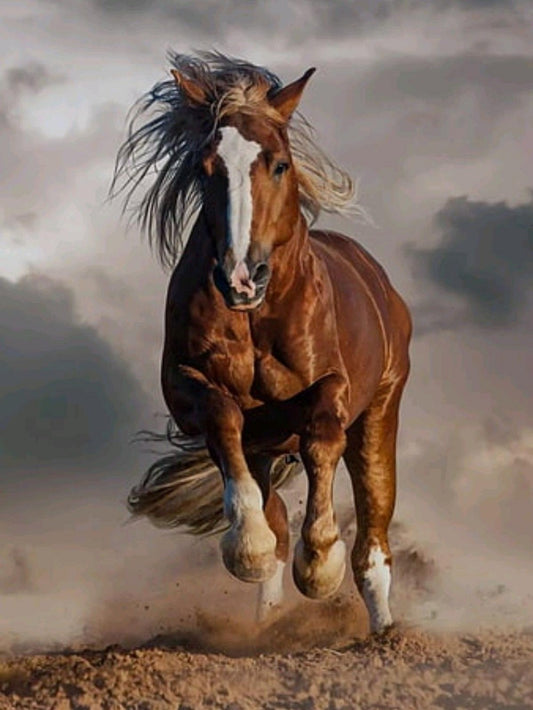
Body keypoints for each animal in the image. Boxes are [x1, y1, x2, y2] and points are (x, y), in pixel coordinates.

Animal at [114, 51, 411, 634]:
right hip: (266, 446)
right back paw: (268, 619)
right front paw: (246, 548)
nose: (241, 277)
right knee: (273, 516)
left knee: (374, 534)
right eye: (206, 169)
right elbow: (222, 417)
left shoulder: (333, 387)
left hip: (381, 412)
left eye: (279, 164)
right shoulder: (187, 389)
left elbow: (322, 436)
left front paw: (318, 564)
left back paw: (383, 631)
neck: (256, 318)